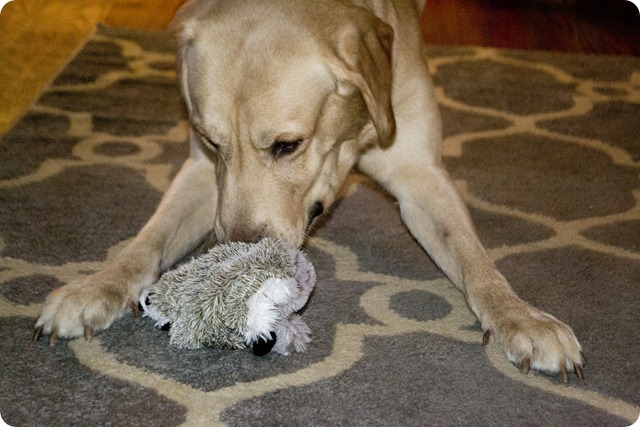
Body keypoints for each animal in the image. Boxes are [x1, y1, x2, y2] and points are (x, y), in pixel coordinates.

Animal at [33, 0, 584, 382]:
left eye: (287, 145)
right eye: (213, 142)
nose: (242, 256)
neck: (354, 134)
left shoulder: (421, 175)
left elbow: (476, 263)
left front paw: (521, 318)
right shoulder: (201, 173)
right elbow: (146, 240)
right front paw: (96, 286)